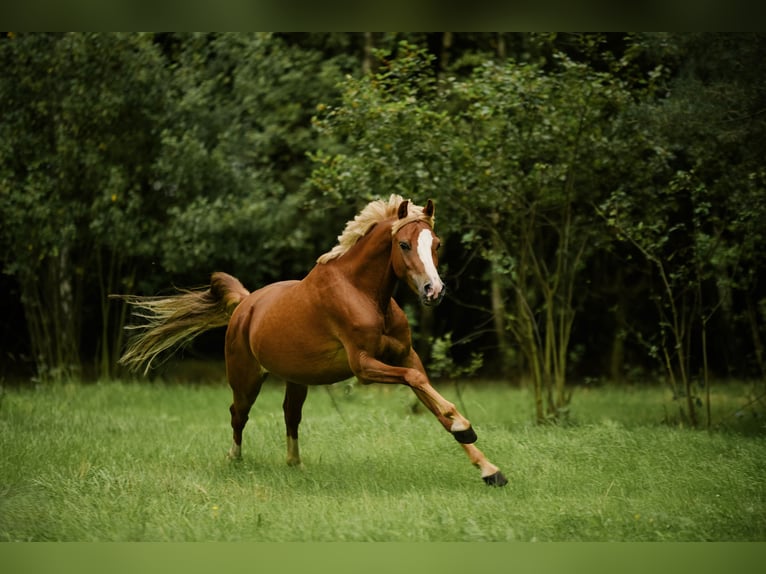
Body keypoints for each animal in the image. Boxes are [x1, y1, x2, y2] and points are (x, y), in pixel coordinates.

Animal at [114, 195, 507, 486]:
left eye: (436, 243)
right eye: (404, 244)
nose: (433, 291)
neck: (362, 293)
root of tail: (245, 304)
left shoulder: (406, 356)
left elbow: (427, 393)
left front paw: (489, 468)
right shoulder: (364, 366)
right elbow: (418, 383)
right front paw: (464, 427)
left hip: (296, 379)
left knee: (291, 414)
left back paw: (295, 464)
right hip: (246, 379)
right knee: (238, 414)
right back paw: (235, 459)